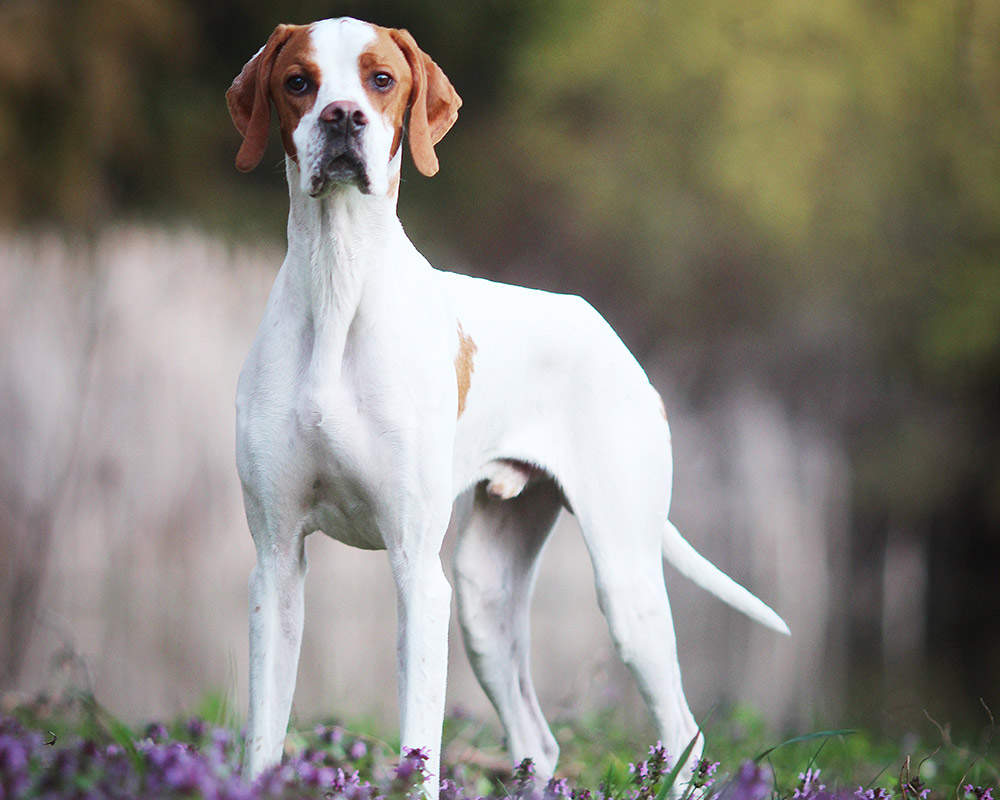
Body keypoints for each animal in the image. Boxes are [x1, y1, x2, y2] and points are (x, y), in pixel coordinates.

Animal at [229, 17, 788, 792]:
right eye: (298, 82)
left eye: (380, 79)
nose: (342, 117)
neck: (338, 284)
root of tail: (610, 335)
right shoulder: (276, 564)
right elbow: (264, 740)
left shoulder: (417, 575)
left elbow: (418, 753)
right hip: (485, 597)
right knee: (539, 743)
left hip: (624, 587)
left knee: (686, 737)